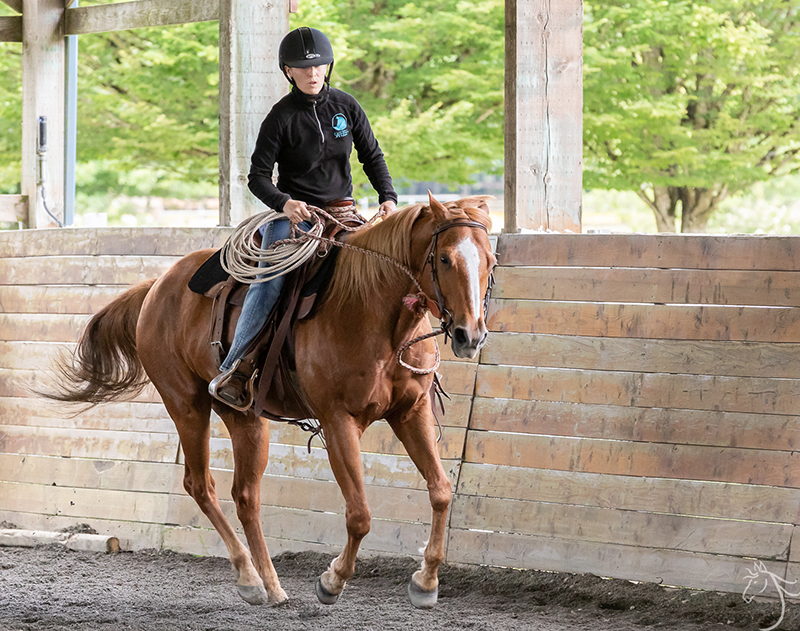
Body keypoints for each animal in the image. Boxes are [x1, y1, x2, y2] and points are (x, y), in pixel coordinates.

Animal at [45, 191, 494, 608]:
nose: (469, 335)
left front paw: (426, 582)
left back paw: (269, 584)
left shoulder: (410, 413)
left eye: (490, 260)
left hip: (244, 417)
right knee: (200, 484)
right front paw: (331, 582)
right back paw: (249, 578)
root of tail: (156, 286)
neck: (372, 310)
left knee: (245, 496)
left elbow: (441, 491)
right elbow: (360, 515)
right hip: (186, 405)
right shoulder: (338, 421)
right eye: (444, 259)